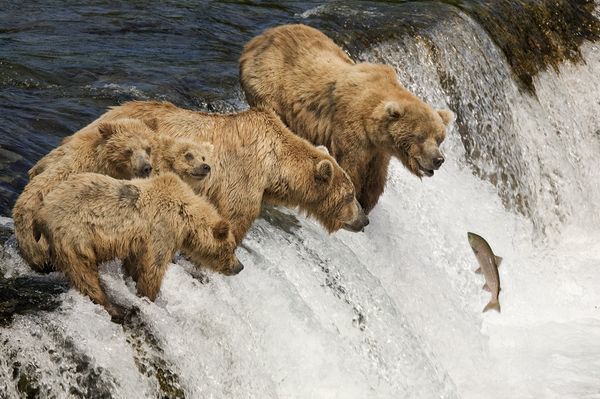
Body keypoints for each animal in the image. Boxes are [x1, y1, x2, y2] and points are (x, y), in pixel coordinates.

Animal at [33, 172, 241, 322]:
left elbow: (135, 263)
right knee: (84, 273)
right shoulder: (163, 231)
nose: (239, 266)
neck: (185, 219)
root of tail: (41, 213)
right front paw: (150, 298)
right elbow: (153, 268)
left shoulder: (140, 241)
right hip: (74, 235)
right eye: (231, 248)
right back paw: (114, 308)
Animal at [73, 100, 370, 244]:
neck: (273, 167)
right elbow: (236, 217)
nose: (364, 220)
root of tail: (107, 115)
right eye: (350, 195)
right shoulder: (242, 178)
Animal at [239, 23, 454, 214]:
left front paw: (367, 202)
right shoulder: (352, 130)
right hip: (268, 84)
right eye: (420, 136)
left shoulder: (379, 151)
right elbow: (352, 168)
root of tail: (257, 39)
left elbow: (375, 181)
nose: (438, 159)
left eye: (439, 138)